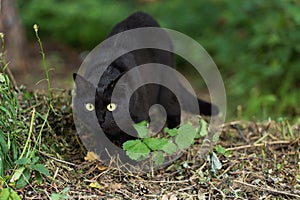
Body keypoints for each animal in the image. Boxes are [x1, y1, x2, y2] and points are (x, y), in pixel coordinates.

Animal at [72, 11, 218, 146]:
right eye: (89, 106)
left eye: (111, 106)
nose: (100, 119)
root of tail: (143, 14)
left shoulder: (138, 120)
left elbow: (128, 142)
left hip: (167, 85)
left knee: (174, 111)